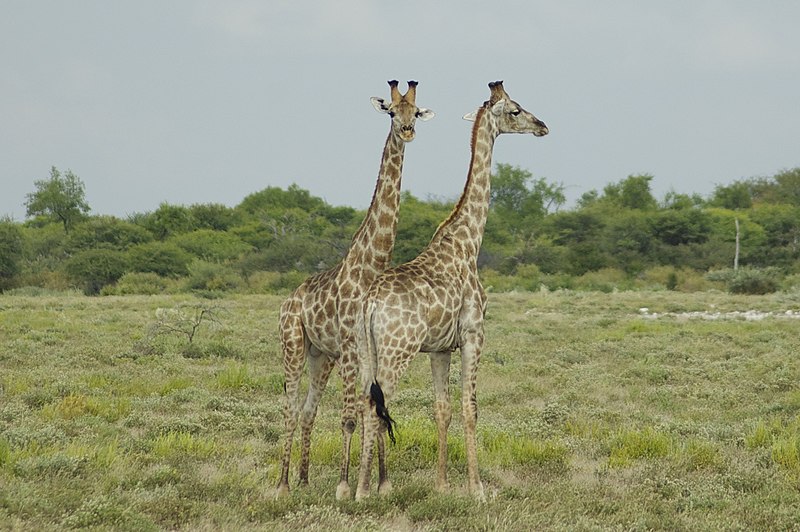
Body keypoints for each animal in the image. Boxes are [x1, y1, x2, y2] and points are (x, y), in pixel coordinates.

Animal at [276, 78, 438, 498]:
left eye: (416, 112)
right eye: (391, 112)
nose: (407, 131)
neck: (371, 266)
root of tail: (290, 299)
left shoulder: (364, 352)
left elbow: (373, 411)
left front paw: (381, 483)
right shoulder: (351, 349)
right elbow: (351, 417)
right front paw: (345, 487)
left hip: (321, 355)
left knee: (308, 410)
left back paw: (303, 480)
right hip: (293, 344)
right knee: (289, 406)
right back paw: (281, 485)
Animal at [354, 81, 548, 500]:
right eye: (516, 110)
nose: (543, 126)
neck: (467, 242)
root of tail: (370, 304)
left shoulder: (440, 348)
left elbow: (441, 409)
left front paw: (443, 485)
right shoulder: (474, 334)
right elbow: (469, 408)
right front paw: (478, 489)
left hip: (365, 352)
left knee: (363, 402)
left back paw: (355, 487)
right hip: (396, 352)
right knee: (377, 407)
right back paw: (363, 492)